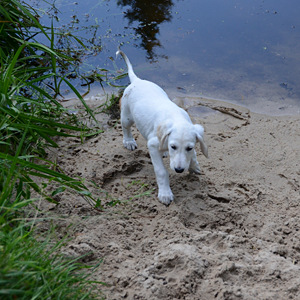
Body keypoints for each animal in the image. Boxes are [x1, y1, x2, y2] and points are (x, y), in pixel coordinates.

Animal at [116, 48, 207, 205]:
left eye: (189, 148)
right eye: (173, 147)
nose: (179, 170)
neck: (176, 117)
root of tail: (137, 80)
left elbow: (194, 155)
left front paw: (194, 166)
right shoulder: (152, 145)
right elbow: (161, 171)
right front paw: (165, 194)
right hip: (127, 116)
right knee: (125, 127)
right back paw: (129, 141)